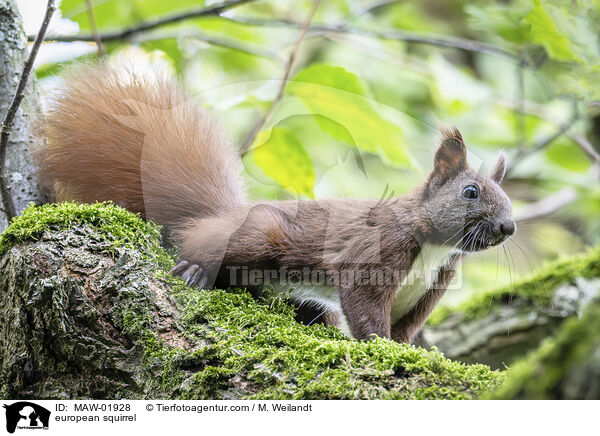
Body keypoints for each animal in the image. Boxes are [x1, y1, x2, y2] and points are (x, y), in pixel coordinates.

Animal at [37, 62, 516, 344]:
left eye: (508, 198)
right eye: (471, 192)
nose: (508, 228)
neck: (434, 246)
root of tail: (216, 216)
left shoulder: (428, 290)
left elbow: (404, 330)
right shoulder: (376, 251)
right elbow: (364, 305)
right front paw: (377, 347)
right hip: (259, 239)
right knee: (201, 248)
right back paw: (195, 268)